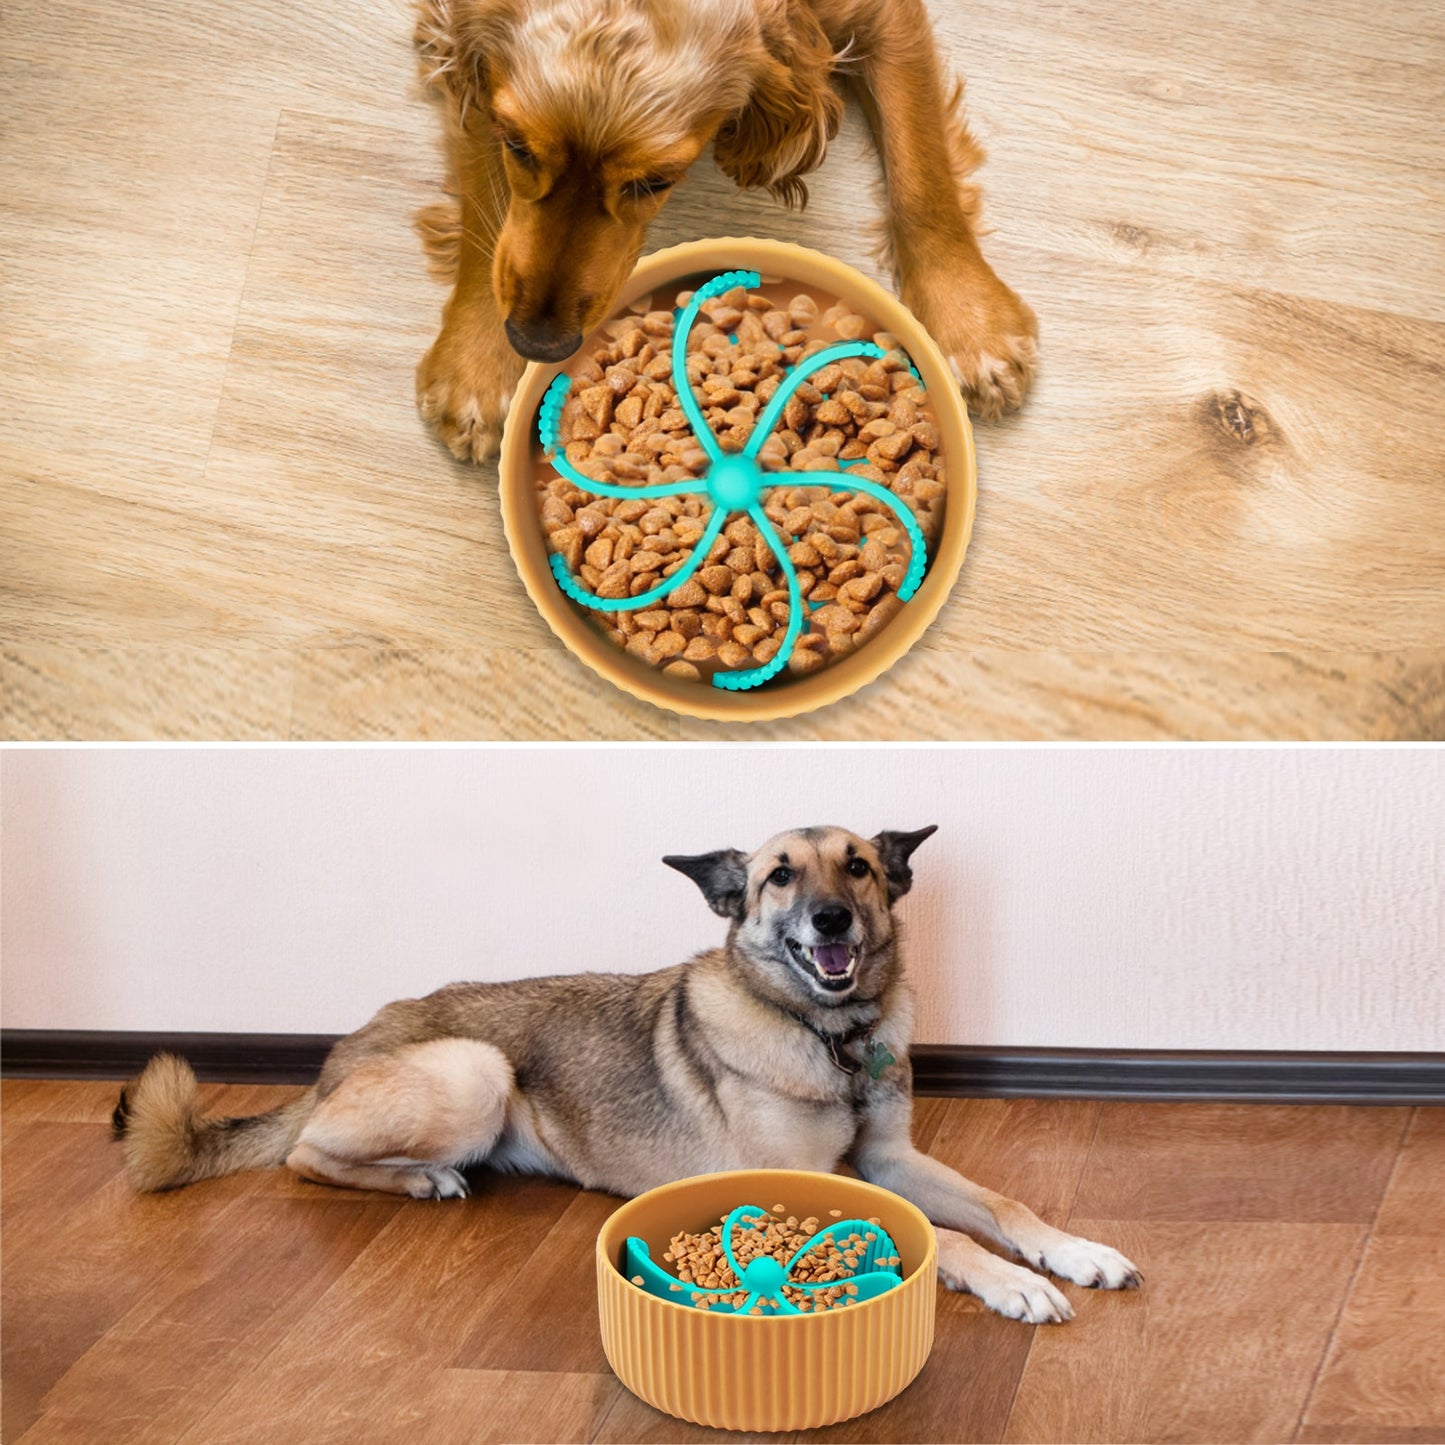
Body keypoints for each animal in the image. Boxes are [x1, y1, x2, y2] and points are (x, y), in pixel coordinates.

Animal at [416, 0, 1040, 456]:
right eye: (516, 145)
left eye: (656, 181)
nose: (534, 343)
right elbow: (486, 203)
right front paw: (477, 369)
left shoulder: (886, 15)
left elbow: (921, 173)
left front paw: (971, 326)